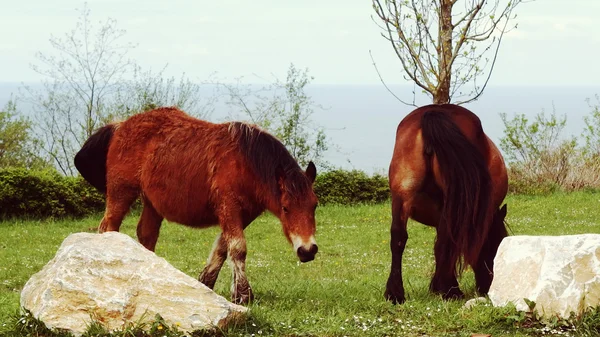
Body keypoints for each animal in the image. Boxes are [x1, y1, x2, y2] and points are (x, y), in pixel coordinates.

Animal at [74, 106, 318, 304]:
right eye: (285, 208)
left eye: (314, 206)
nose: (307, 250)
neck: (245, 162)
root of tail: (120, 125)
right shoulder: (228, 208)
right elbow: (238, 248)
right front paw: (243, 295)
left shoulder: (243, 214)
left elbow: (222, 248)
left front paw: (207, 284)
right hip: (120, 193)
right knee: (108, 227)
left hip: (152, 204)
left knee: (146, 235)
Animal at [386, 103, 508, 304]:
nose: (487, 287)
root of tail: (433, 112)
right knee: (446, 240)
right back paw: (450, 291)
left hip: (401, 196)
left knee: (398, 238)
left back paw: (395, 294)